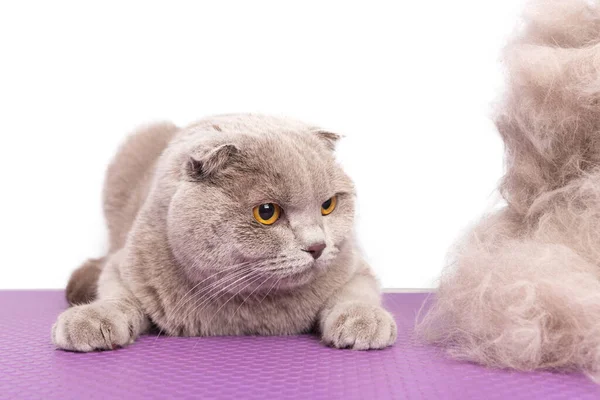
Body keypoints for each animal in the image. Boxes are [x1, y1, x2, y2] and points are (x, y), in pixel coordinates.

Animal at [52, 114, 398, 352]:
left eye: (328, 205)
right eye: (267, 212)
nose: (317, 246)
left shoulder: (354, 265)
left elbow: (356, 294)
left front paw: (364, 321)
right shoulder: (127, 268)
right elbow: (116, 297)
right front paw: (90, 319)